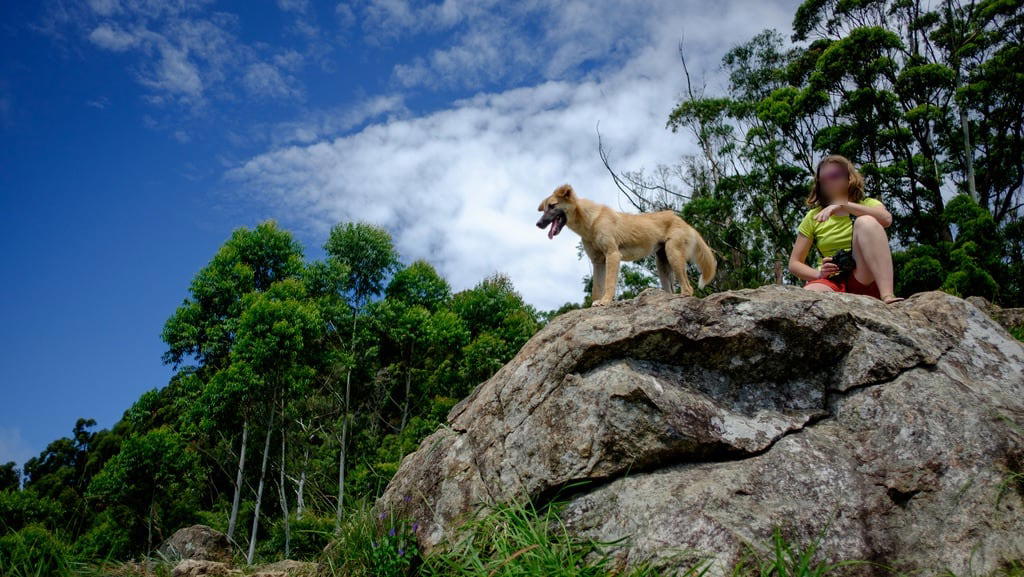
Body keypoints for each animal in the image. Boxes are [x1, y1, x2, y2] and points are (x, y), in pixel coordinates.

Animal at [540, 184, 716, 307]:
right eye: (544, 208)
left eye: (552, 206)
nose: (538, 224)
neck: (591, 222)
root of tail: (685, 223)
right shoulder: (598, 262)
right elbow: (596, 288)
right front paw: (595, 304)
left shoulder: (612, 255)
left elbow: (609, 284)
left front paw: (605, 302)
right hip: (662, 264)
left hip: (673, 254)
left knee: (689, 289)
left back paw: (683, 296)